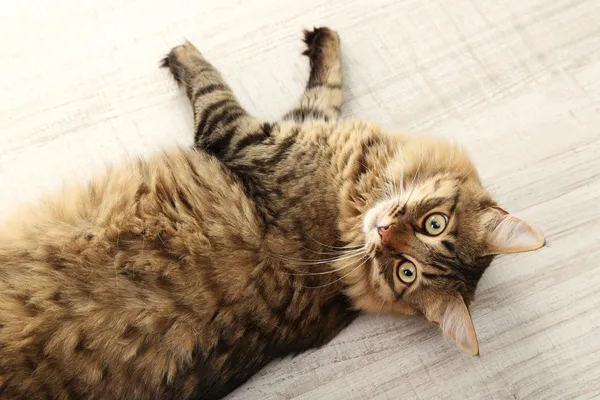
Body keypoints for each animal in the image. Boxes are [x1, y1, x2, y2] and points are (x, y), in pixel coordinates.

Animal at [0, 27, 544, 400]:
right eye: (435, 226)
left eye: (404, 271)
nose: (385, 232)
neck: (348, 207)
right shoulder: (303, 128)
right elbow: (329, 88)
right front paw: (324, 38)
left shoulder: (244, 135)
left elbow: (212, 84)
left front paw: (181, 54)